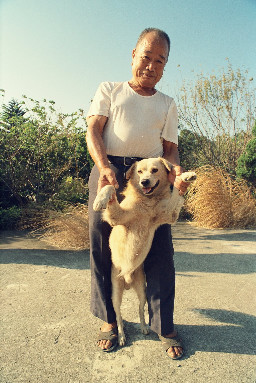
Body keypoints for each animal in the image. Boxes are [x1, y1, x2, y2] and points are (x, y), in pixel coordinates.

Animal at [94, 158, 196, 346]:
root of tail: (127, 280)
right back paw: (121, 336)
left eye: (155, 170)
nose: (144, 182)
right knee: (118, 317)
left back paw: (143, 327)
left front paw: (185, 177)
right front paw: (100, 199)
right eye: (139, 172)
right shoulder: (117, 217)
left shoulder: (169, 215)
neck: (147, 202)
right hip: (115, 296)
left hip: (143, 292)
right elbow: (110, 187)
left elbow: (177, 194)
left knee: (140, 310)